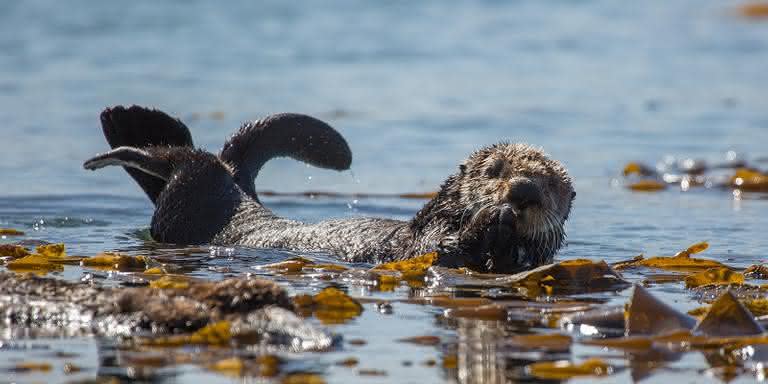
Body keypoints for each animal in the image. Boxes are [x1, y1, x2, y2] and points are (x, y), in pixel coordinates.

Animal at [85, 105, 576, 272]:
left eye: (552, 187)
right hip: (196, 186)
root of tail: (237, 185)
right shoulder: (424, 237)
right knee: (173, 157)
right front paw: (491, 218)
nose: (523, 192)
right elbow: (437, 247)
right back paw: (110, 152)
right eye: (494, 170)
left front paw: (503, 228)